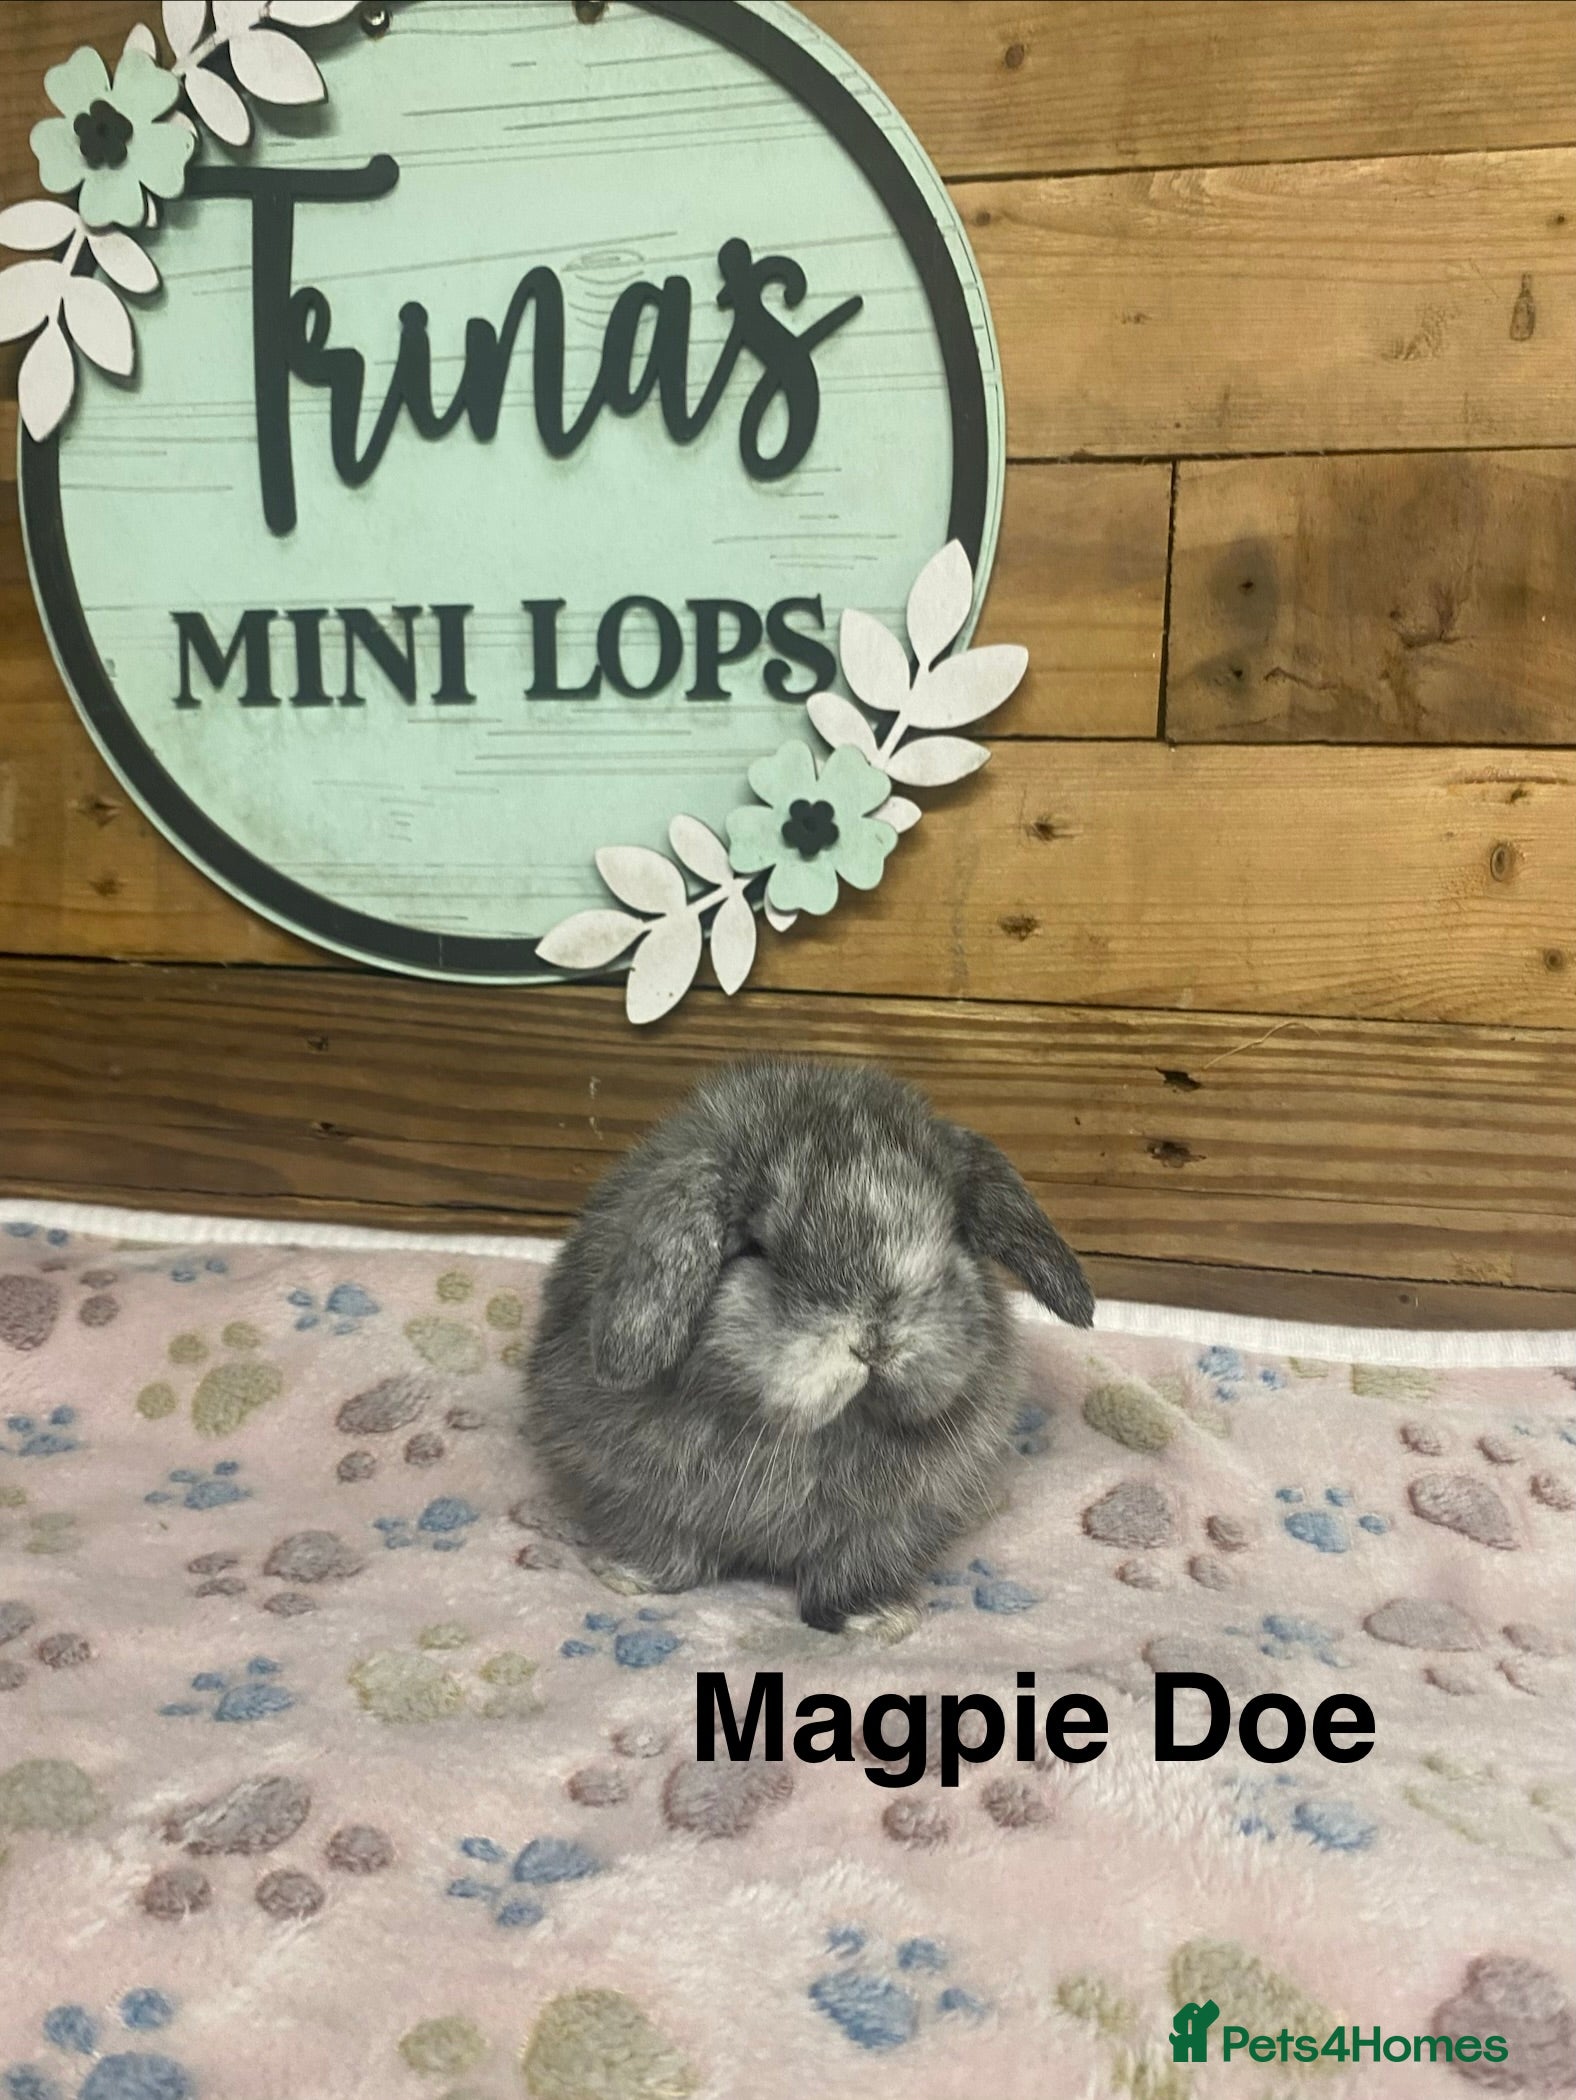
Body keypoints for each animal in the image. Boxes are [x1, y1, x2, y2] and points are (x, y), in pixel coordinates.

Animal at [522, 1055, 1094, 1640]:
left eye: (953, 1235)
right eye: (757, 1250)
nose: (876, 1339)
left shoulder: (887, 1526)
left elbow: (854, 1568)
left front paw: (877, 1619)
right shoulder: (633, 1491)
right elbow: (664, 1544)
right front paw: (627, 1577)